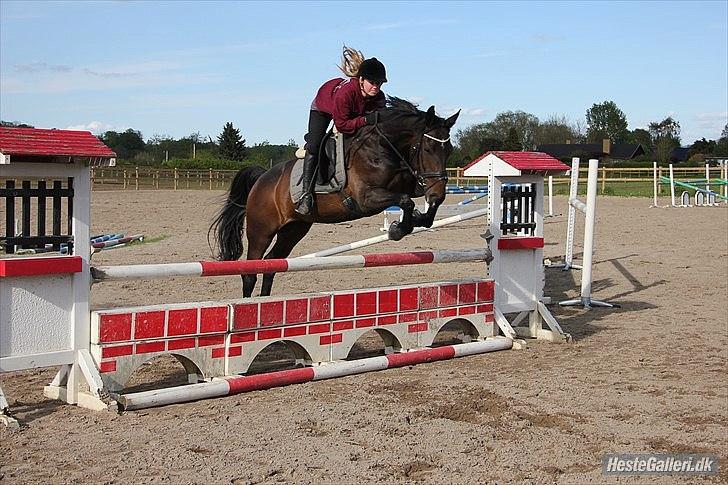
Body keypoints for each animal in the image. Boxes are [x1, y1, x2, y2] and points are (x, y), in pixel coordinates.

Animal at [212, 97, 460, 296]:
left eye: (449, 150)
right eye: (428, 148)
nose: (437, 190)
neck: (383, 147)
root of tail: (262, 178)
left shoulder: (414, 183)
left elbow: (421, 203)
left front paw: (420, 217)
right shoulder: (365, 199)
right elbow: (404, 201)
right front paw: (397, 229)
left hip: (294, 229)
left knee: (272, 263)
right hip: (261, 231)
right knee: (251, 271)